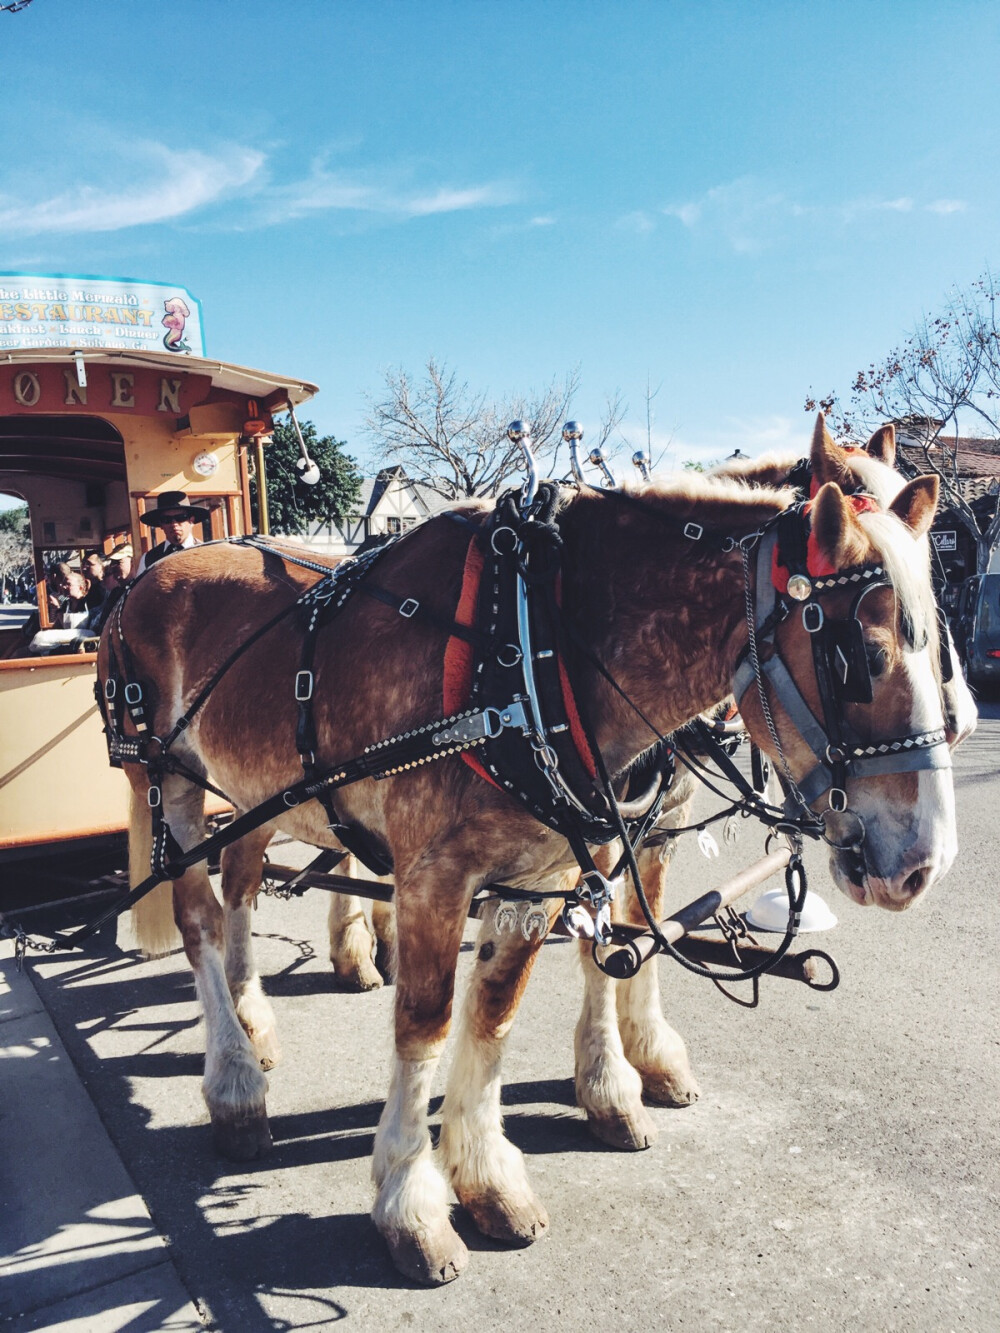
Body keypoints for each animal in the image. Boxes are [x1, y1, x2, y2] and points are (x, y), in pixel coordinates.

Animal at [108, 415, 970, 1279]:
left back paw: (259, 1013)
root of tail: (150, 573)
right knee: (198, 917)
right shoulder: (439, 875)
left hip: (256, 791)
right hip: (172, 780)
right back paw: (235, 1081)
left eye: (939, 630)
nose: (924, 862)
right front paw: (410, 1199)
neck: (530, 641)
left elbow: (513, 1001)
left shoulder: (559, 862)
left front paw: (500, 1164)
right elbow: (427, 1021)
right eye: (859, 655)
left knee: (243, 886)